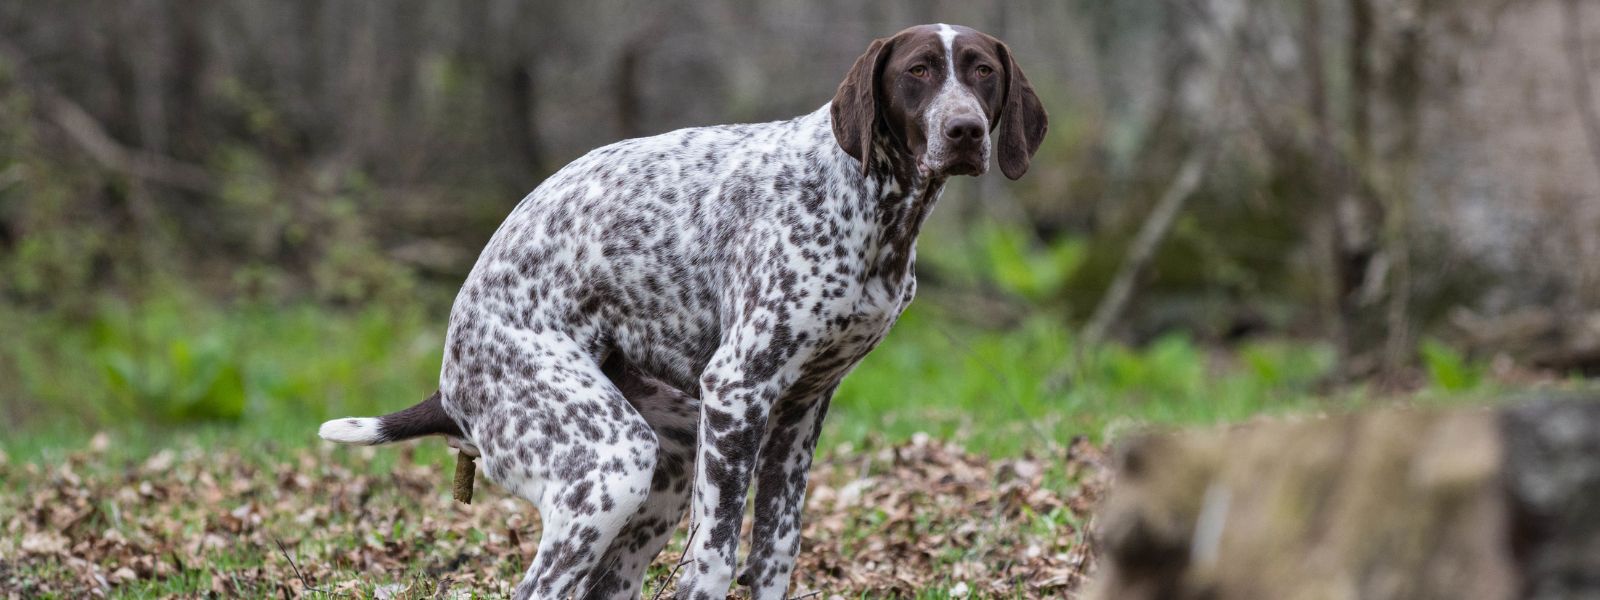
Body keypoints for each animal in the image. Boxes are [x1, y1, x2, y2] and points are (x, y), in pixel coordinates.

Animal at [321, 23, 1049, 600]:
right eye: (917, 72)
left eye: (982, 72)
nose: (964, 130)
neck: (869, 203)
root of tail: (449, 379)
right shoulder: (737, 391)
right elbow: (714, 561)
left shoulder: (799, 412)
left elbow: (774, 555)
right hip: (610, 464)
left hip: (665, 469)